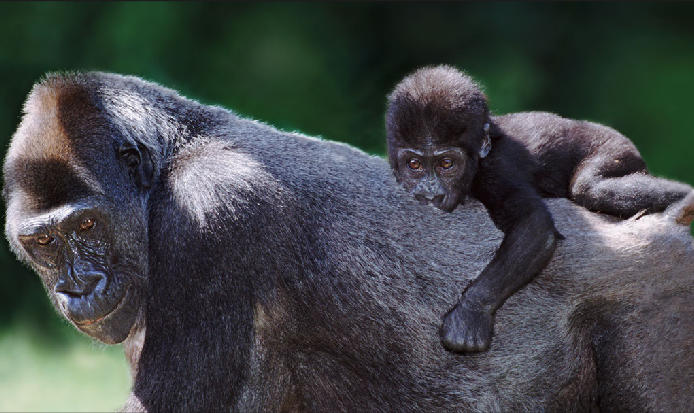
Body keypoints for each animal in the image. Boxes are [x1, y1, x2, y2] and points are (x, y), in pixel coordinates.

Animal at [388, 65, 692, 350]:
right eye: (414, 164)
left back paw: (684, 202)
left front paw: (470, 312)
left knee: (589, 187)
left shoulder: (495, 169)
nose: (429, 193)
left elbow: (533, 224)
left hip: (615, 147)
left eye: (447, 164)